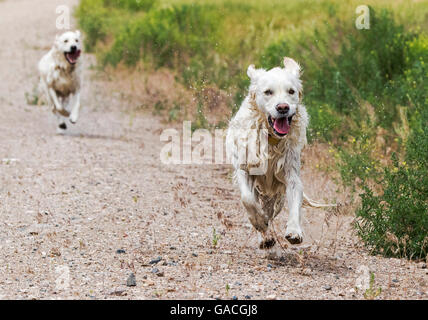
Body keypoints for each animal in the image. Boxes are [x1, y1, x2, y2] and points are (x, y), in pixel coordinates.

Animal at [226, 57, 310, 248]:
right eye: (268, 92)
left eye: (291, 91)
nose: (283, 107)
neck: (272, 139)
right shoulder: (244, 169)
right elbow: (247, 200)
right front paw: (259, 222)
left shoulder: (291, 174)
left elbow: (295, 202)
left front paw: (294, 231)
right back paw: (265, 236)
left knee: (272, 211)